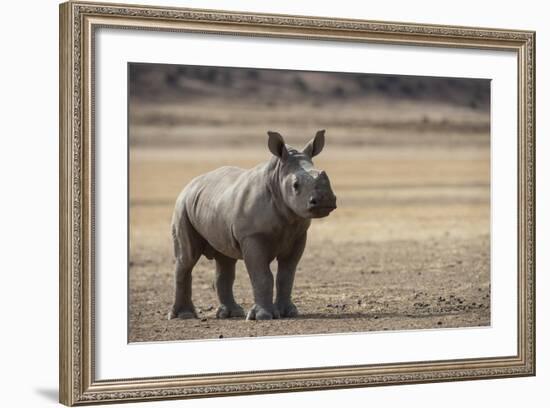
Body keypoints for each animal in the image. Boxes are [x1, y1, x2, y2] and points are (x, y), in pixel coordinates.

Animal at [168, 129, 338, 320]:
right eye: (295, 185)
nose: (325, 200)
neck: (276, 178)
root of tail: (191, 183)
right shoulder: (252, 236)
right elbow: (262, 275)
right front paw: (262, 316)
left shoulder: (298, 235)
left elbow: (286, 275)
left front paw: (288, 312)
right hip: (182, 205)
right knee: (187, 259)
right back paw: (184, 316)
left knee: (225, 260)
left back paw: (231, 313)